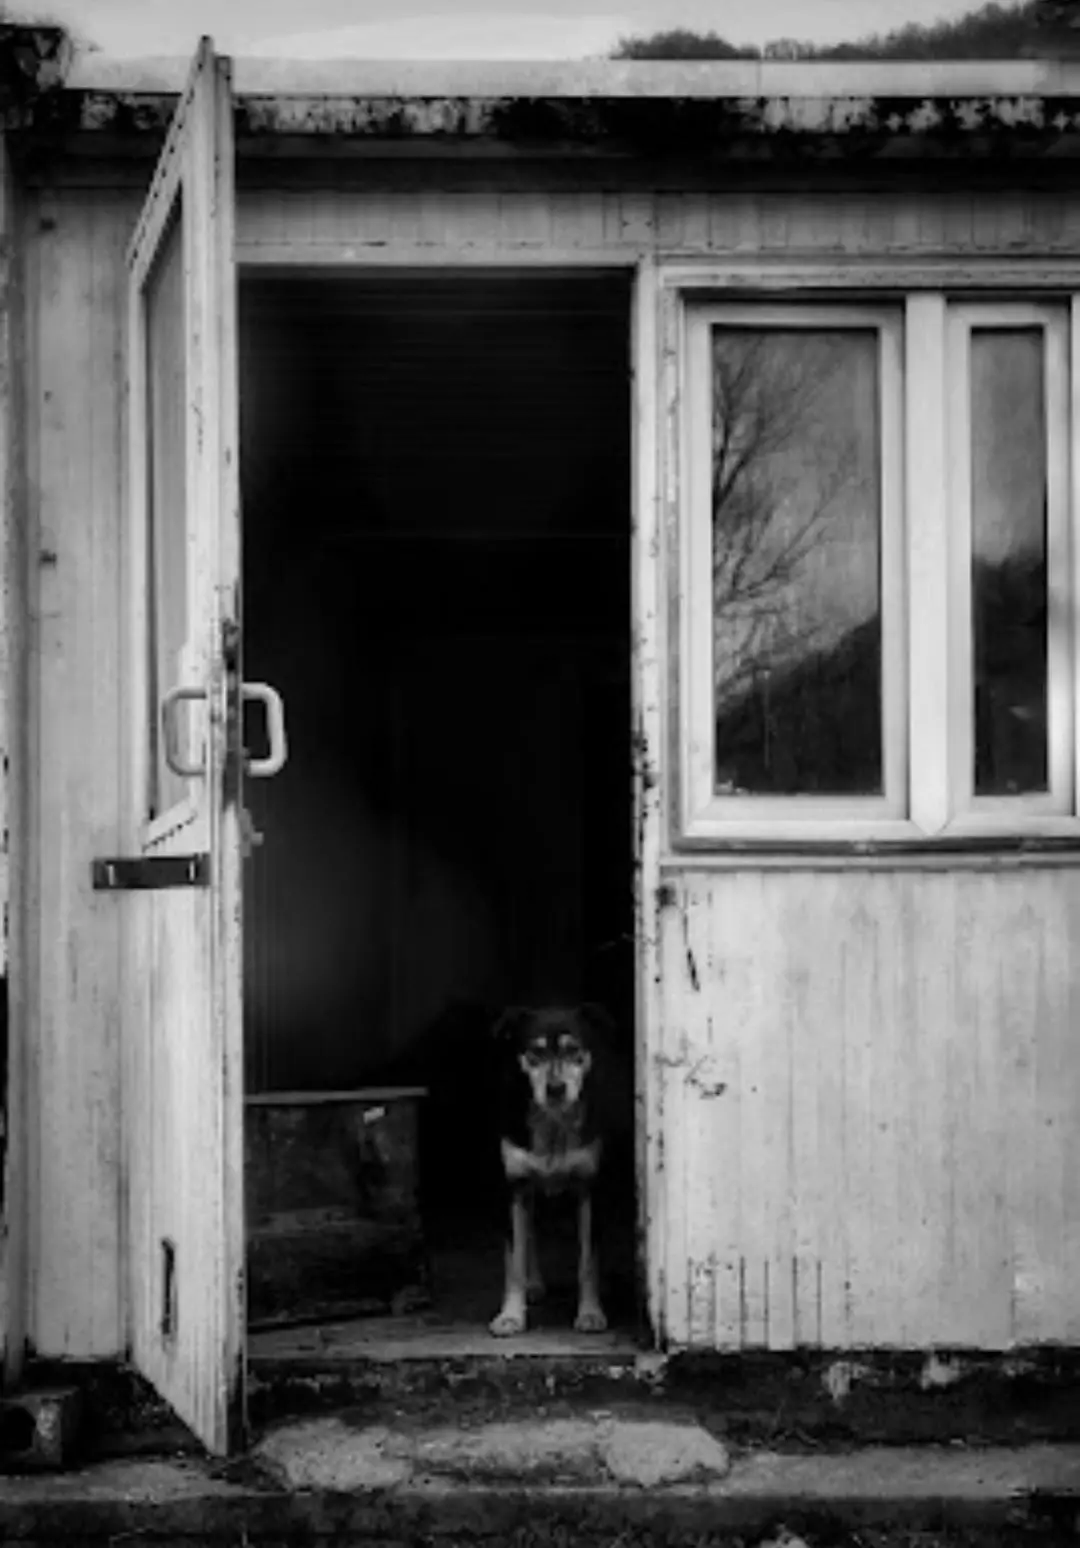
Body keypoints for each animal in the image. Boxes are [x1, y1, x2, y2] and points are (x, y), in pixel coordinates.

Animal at [488, 996, 609, 1337]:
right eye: (535, 1052)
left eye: (573, 1050)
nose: (556, 1088)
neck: (553, 1122)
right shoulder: (513, 1188)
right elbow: (513, 1260)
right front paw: (511, 1315)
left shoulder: (590, 1188)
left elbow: (588, 1260)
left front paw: (591, 1313)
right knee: (529, 1231)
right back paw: (534, 1284)